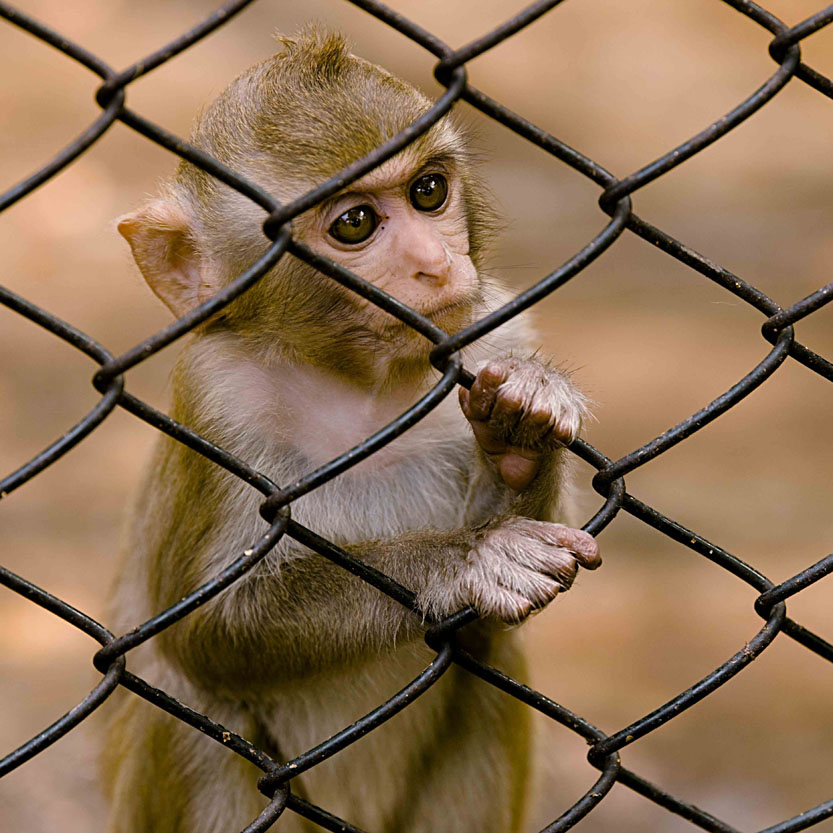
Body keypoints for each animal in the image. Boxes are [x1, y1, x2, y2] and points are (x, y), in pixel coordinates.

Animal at [102, 27, 600, 832]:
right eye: (354, 224)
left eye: (429, 191)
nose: (436, 265)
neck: (362, 388)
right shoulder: (216, 395)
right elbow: (204, 633)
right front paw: (465, 561)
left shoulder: (497, 327)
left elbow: (501, 622)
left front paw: (520, 434)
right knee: (199, 716)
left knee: (487, 670)